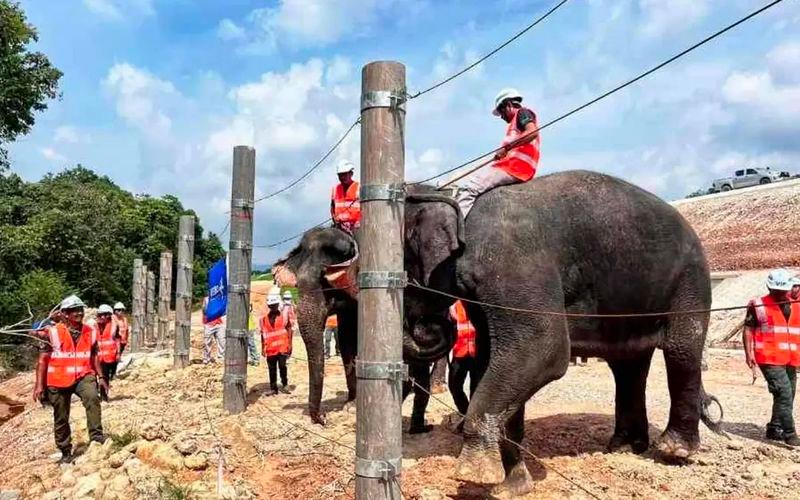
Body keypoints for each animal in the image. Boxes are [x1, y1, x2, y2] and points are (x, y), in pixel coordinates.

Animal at [276, 169, 720, 496]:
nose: (429, 325)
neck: (449, 197)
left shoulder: (512, 261)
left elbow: (542, 349)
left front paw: (472, 472)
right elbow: (496, 358)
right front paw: (513, 485)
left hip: (692, 277)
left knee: (680, 348)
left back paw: (672, 451)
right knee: (627, 364)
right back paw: (624, 446)